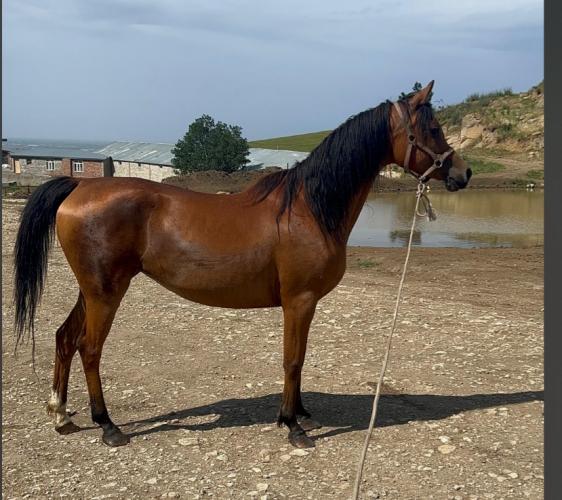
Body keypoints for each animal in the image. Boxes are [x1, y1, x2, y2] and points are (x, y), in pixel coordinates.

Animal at [13, 81, 471, 449]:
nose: (464, 174)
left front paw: (301, 414)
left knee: (64, 339)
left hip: (91, 290)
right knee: (89, 349)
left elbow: (300, 358)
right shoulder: (299, 300)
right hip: (106, 293)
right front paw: (293, 427)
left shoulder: (304, 305)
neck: (308, 207)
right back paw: (108, 427)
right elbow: (292, 359)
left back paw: (61, 415)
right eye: (432, 129)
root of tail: (79, 185)